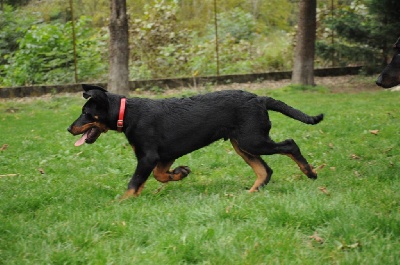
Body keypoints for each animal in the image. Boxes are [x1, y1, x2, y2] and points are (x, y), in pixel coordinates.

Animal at [68, 84, 324, 198]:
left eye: (86, 113)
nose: (69, 128)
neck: (127, 112)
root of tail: (259, 98)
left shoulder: (148, 156)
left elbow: (135, 182)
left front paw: (122, 202)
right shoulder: (165, 155)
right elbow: (159, 175)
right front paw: (180, 173)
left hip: (252, 139)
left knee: (290, 144)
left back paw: (310, 172)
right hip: (242, 143)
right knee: (264, 170)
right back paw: (250, 193)